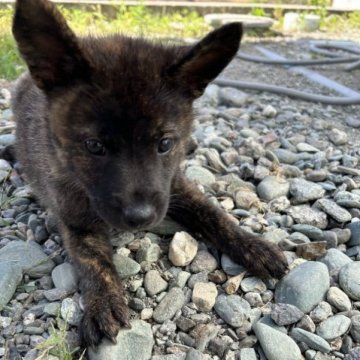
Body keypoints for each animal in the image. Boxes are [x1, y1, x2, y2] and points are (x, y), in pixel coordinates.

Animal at [11, 0, 286, 348]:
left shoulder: (174, 185)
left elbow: (213, 213)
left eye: (165, 143)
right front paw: (104, 302)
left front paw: (254, 245)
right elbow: (92, 259)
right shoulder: (75, 217)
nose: (140, 217)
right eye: (94, 146)